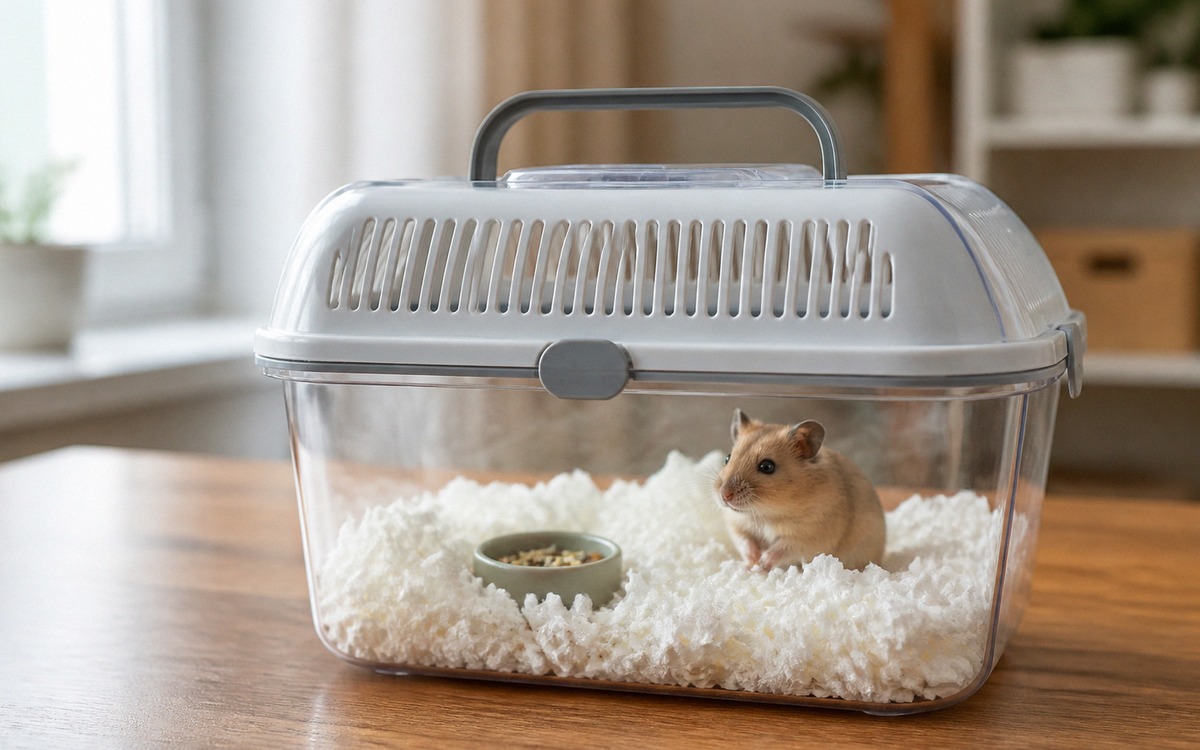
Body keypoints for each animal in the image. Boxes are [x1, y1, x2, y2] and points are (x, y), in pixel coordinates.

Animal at [714, 409, 886, 572]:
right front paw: (752, 563)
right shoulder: (737, 525)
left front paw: (761, 564)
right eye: (727, 458)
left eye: (767, 466)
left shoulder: (806, 536)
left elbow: (781, 549)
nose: (724, 495)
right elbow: (745, 541)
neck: (765, 515)